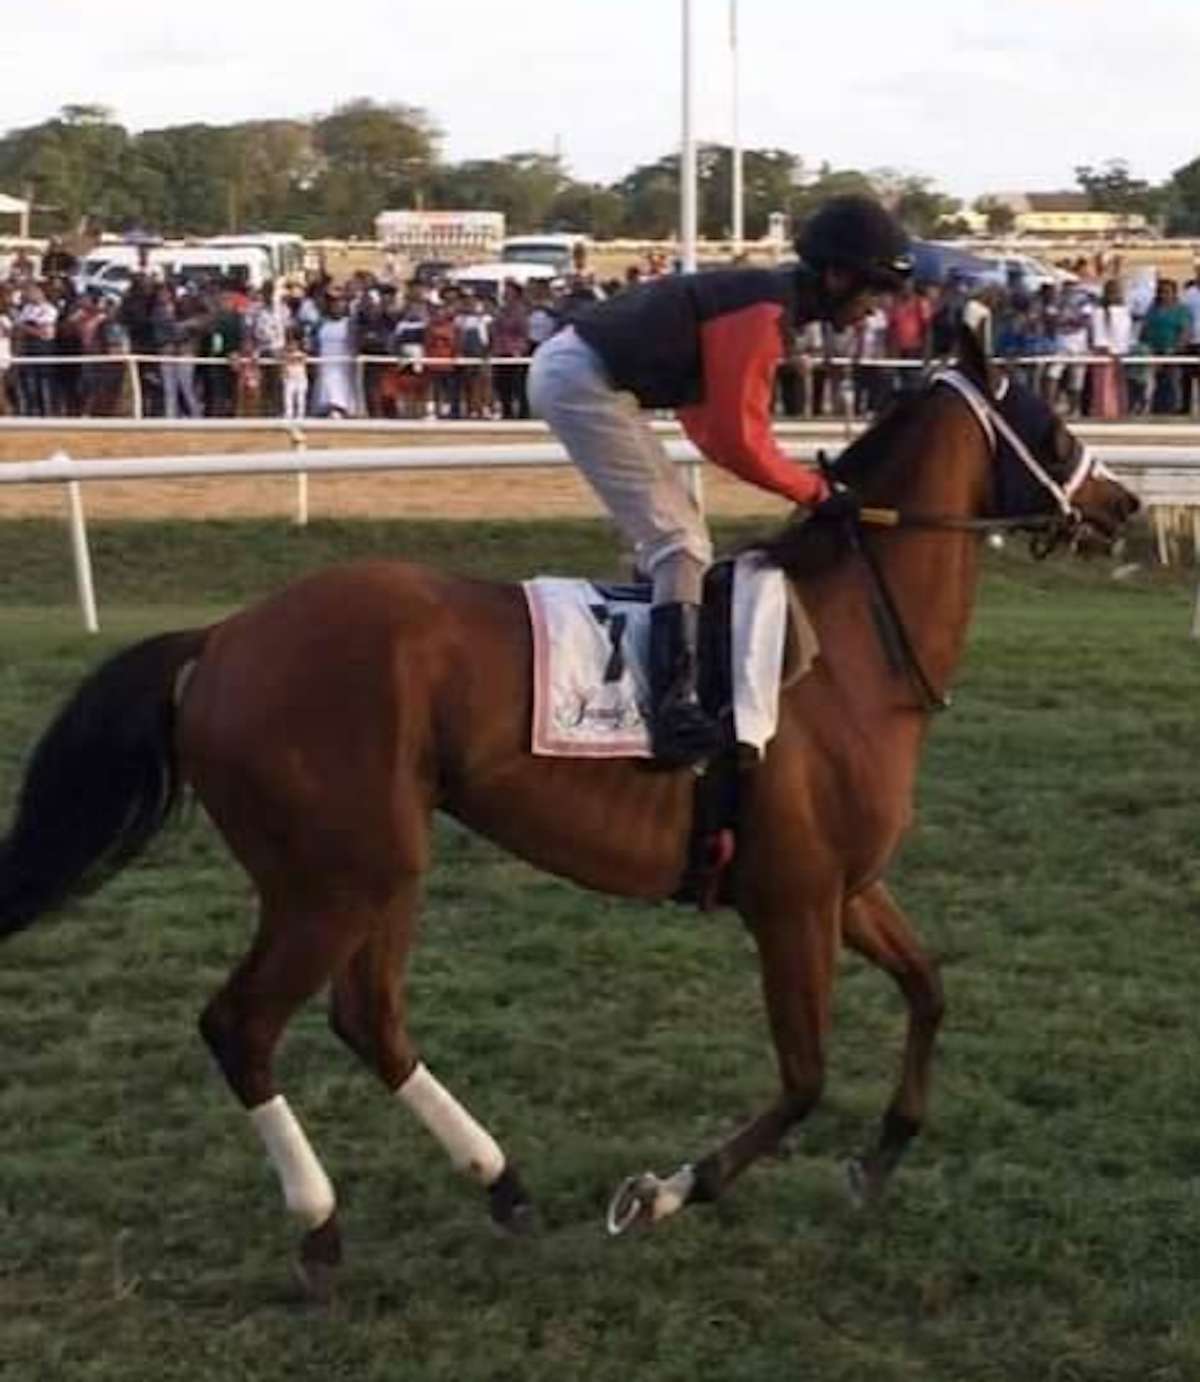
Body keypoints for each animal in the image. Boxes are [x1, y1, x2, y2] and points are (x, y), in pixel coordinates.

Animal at [0, 326, 1137, 1298]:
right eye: (1047, 422)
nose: (1121, 502)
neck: (850, 646)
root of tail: (222, 638)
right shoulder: (793, 902)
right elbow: (805, 1078)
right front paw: (667, 1192)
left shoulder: (847, 888)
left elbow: (929, 989)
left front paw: (883, 1152)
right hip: (331, 876)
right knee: (241, 1024)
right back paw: (321, 1228)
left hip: (383, 862)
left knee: (370, 1017)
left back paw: (502, 1184)